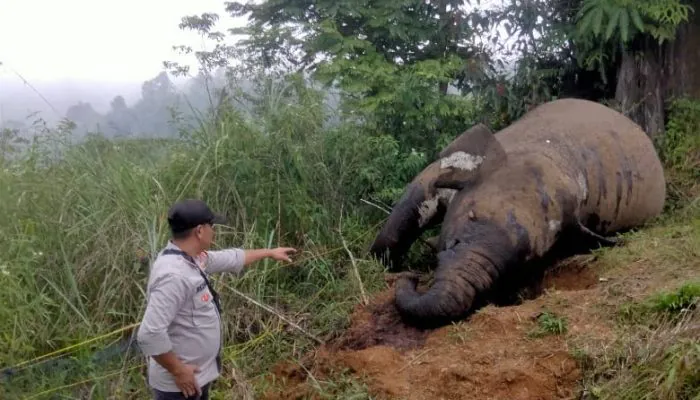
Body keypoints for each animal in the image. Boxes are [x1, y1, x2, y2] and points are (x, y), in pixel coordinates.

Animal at [370, 97, 664, 328]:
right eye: (470, 217)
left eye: (521, 260)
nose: (413, 278)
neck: (545, 153)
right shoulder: (438, 174)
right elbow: (407, 211)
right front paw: (379, 265)